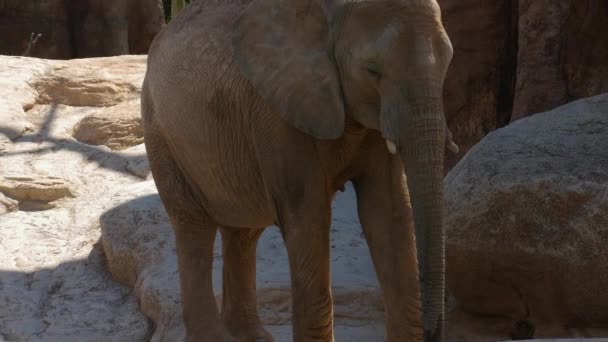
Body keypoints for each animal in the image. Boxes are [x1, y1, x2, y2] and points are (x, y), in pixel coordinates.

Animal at [142, 0, 456, 342]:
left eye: (448, 61)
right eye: (372, 70)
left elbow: (388, 211)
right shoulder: (276, 115)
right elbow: (308, 216)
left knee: (243, 231)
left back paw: (252, 337)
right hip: (160, 132)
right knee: (194, 227)